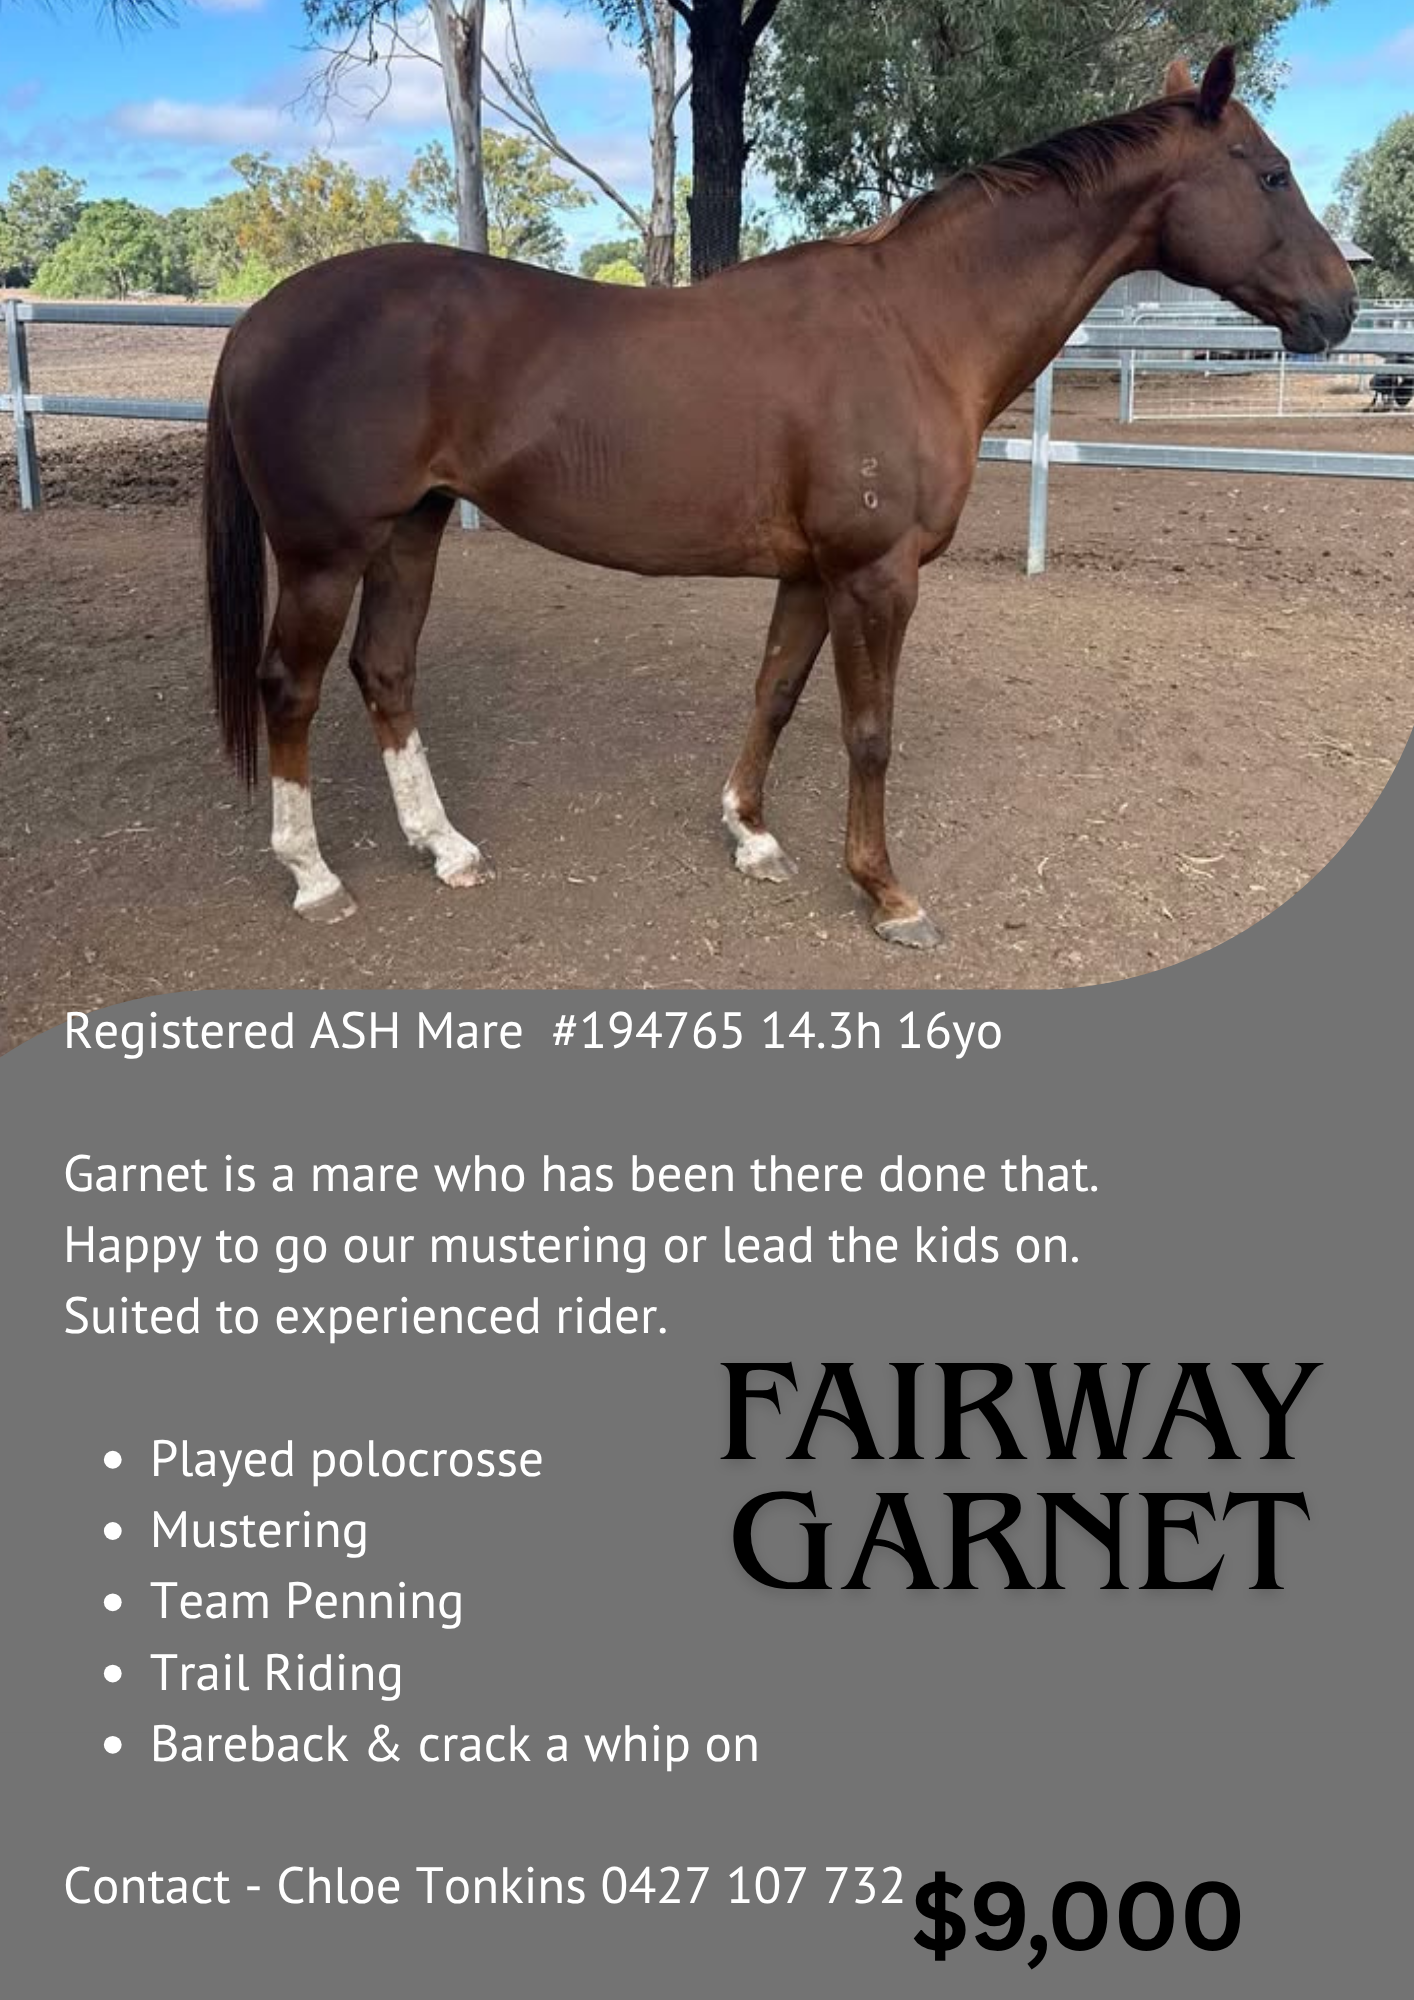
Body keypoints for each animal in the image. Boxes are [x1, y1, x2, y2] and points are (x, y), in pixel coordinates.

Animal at [204, 48, 1354, 947]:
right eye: (1270, 173)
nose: (1340, 308)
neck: (915, 326)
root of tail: (264, 317)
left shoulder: (810, 574)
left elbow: (775, 693)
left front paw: (750, 834)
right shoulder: (875, 576)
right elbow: (868, 730)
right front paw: (887, 893)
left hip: (413, 529)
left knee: (386, 672)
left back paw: (443, 847)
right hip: (324, 554)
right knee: (290, 688)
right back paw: (315, 877)